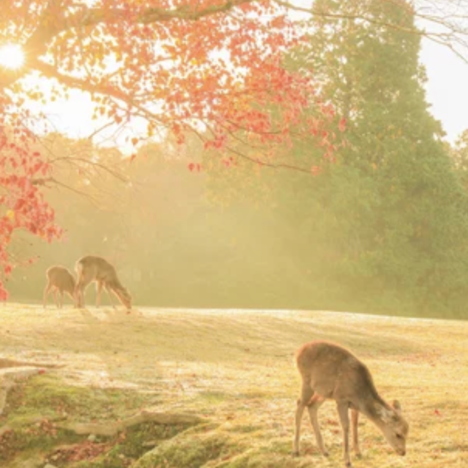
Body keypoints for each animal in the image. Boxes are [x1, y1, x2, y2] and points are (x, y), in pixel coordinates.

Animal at [294, 340, 408, 468]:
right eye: (398, 434)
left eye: (407, 432)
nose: (403, 452)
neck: (359, 395)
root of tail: (298, 352)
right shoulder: (341, 399)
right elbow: (346, 426)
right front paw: (347, 460)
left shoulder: (354, 406)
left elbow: (355, 424)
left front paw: (358, 452)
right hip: (307, 381)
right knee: (300, 404)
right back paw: (296, 450)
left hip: (323, 391)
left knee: (311, 406)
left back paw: (324, 451)